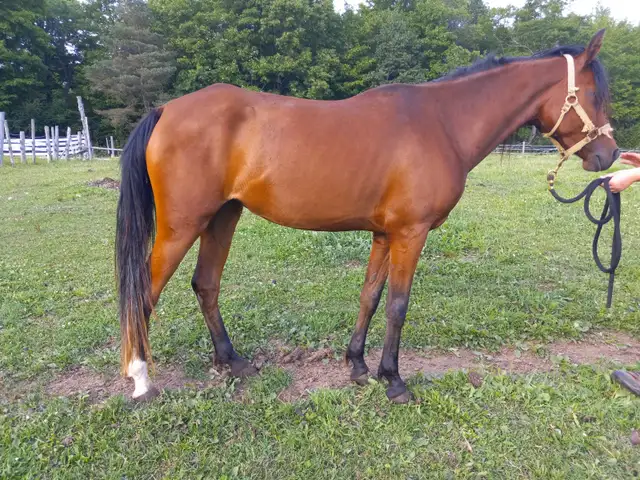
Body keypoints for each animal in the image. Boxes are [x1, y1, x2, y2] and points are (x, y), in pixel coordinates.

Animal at [116, 30, 618, 403]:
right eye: (595, 94)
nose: (609, 155)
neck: (442, 124)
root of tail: (166, 109)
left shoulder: (383, 234)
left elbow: (370, 298)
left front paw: (358, 366)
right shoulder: (411, 233)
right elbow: (398, 305)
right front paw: (393, 380)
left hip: (223, 217)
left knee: (206, 284)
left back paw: (232, 362)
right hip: (182, 226)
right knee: (144, 294)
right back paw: (141, 379)